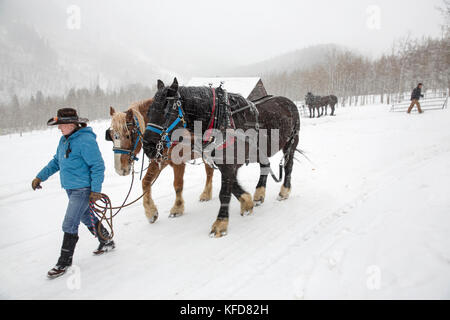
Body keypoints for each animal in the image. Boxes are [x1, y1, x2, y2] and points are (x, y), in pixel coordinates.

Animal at [142, 78, 300, 238]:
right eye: (148, 112)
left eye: (166, 112)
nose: (148, 146)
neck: (223, 120)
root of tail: (288, 102)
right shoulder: (223, 164)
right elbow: (233, 187)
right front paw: (247, 203)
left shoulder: (229, 164)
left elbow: (224, 193)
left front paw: (220, 223)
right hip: (260, 151)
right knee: (265, 166)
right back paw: (259, 194)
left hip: (291, 142)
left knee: (288, 166)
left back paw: (284, 191)